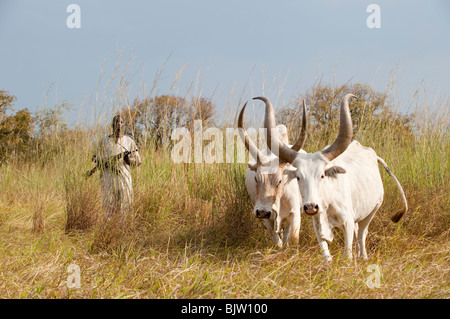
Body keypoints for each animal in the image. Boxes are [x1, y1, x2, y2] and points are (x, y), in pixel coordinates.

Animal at [237, 99, 308, 249]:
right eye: (256, 178)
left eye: (280, 181)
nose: (263, 211)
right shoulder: (267, 218)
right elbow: (276, 241)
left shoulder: (295, 214)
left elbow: (292, 238)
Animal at [256, 94, 408, 260]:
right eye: (298, 177)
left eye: (322, 175)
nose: (311, 207)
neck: (328, 200)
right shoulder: (318, 223)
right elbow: (326, 255)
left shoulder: (347, 221)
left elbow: (347, 253)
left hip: (373, 209)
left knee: (362, 234)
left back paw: (363, 257)